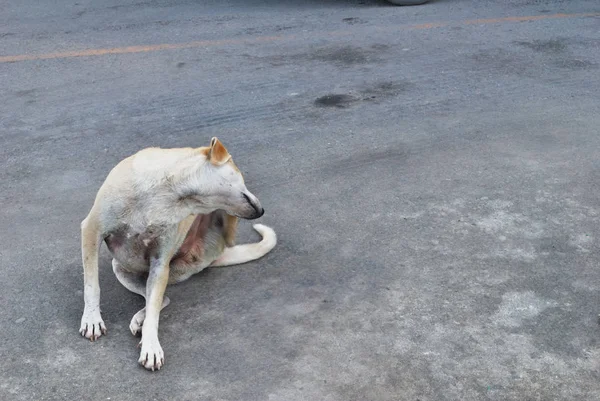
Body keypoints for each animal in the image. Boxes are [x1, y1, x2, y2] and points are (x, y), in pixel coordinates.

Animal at [78, 137, 278, 368]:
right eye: (241, 173)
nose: (261, 211)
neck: (171, 194)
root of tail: (211, 257)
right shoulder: (91, 230)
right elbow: (92, 286)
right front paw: (92, 319)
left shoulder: (160, 264)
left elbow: (154, 310)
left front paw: (151, 346)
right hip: (120, 268)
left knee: (160, 300)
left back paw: (141, 320)